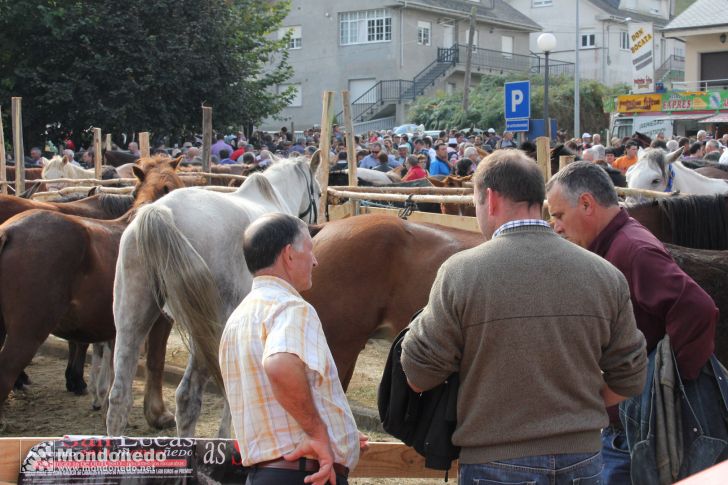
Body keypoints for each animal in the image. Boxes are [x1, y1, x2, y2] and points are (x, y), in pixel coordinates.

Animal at [105, 155, 322, 434]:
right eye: (318, 192)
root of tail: (161, 212)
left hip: (130, 321)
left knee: (119, 397)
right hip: (204, 329)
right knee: (187, 398)